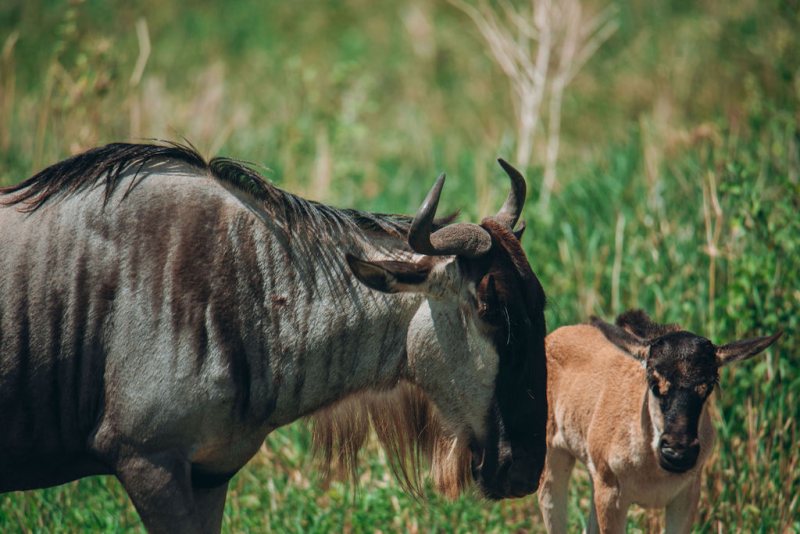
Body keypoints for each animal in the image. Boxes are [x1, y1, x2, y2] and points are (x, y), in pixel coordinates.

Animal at [0, 143, 548, 533]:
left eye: (539, 304)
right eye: (489, 310)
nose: (526, 470)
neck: (244, 287)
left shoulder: (208, 475)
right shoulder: (147, 461)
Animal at [538, 309, 780, 533]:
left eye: (709, 385)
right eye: (654, 382)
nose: (678, 453)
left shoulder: (686, 496)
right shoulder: (611, 495)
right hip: (552, 466)